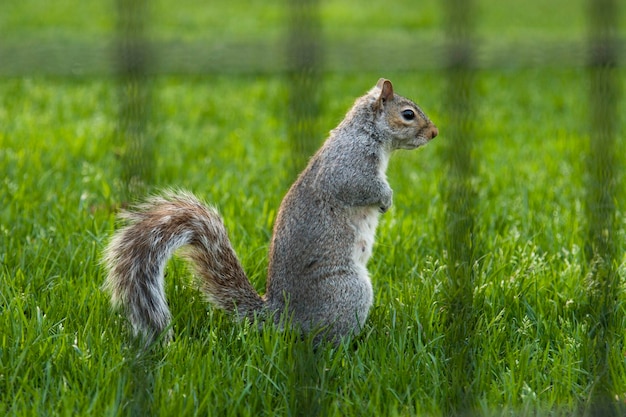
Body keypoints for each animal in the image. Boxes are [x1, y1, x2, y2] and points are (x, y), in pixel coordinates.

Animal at [102, 78, 436, 344]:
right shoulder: (348, 164)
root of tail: (281, 317)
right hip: (348, 291)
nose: (434, 133)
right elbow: (359, 187)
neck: (367, 132)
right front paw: (386, 199)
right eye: (408, 114)